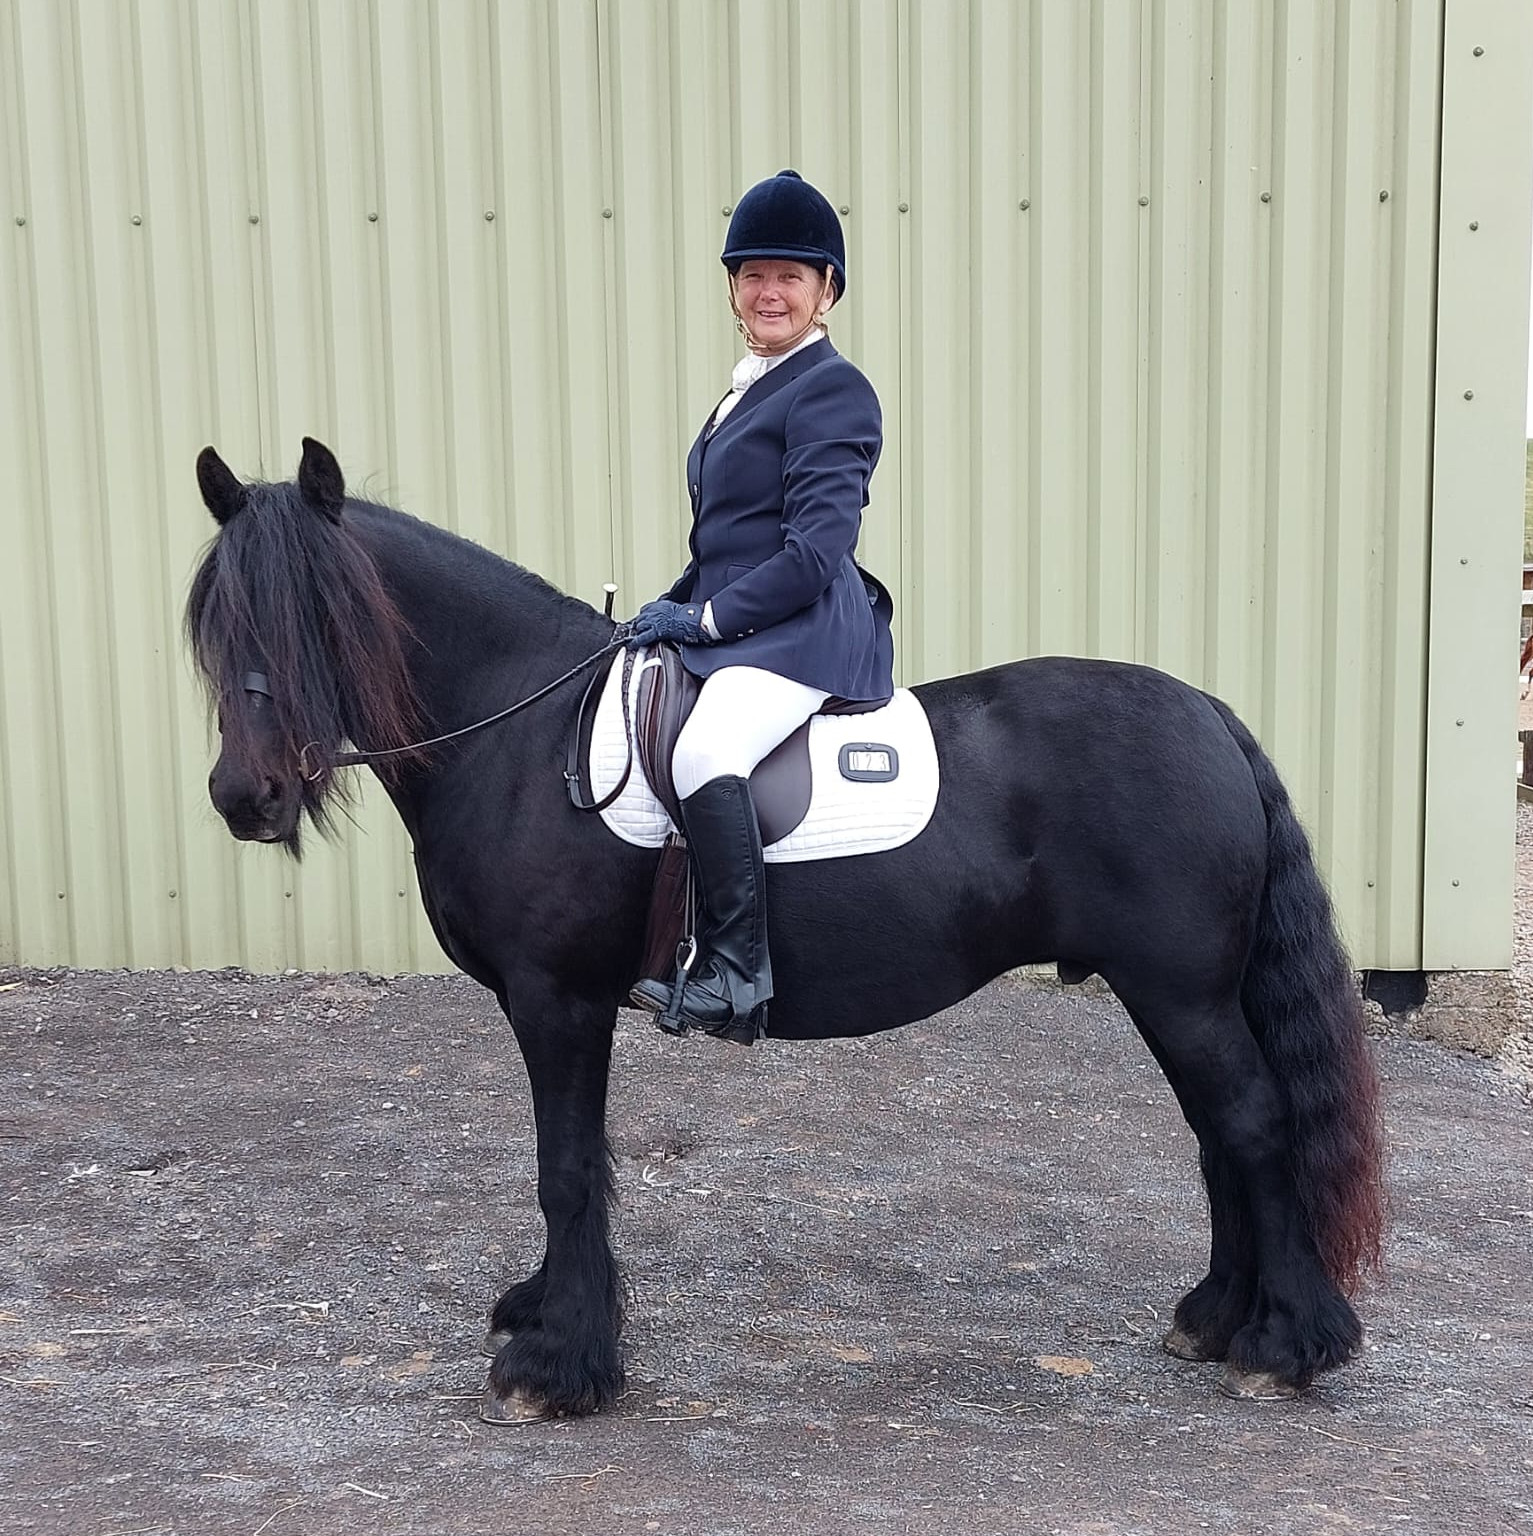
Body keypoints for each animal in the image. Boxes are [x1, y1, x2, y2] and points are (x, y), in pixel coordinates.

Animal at [185, 439, 1388, 1419]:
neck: (524, 730)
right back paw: (1215, 1318)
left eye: (327, 615)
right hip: (1177, 995)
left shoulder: (556, 999)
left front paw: (556, 1369)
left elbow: (565, 1168)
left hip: (1180, 992)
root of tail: (1211, 717)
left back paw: (1282, 1347)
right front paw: (544, 1316)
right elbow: (572, 1167)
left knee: (1252, 1126)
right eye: (215, 624)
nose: (244, 799)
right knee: (1220, 1135)